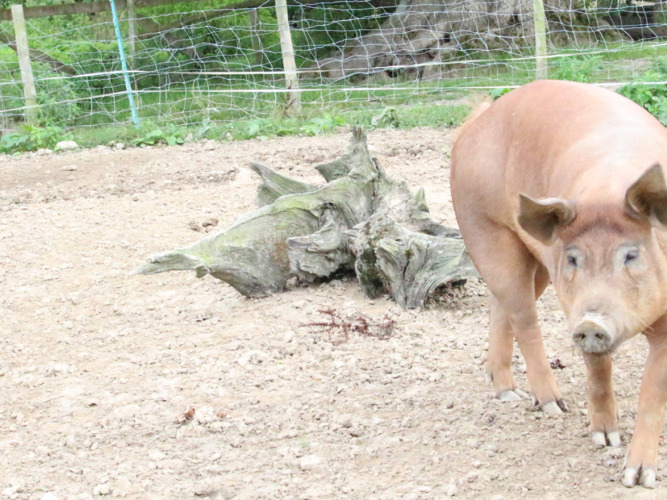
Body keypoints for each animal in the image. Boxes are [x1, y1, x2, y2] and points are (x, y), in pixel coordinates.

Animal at [450, 79, 667, 488]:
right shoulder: (572, 305)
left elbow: (653, 390)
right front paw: (606, 440)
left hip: (533, 260)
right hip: (482, 226)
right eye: (573, 258)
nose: (592, 322)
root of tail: (478, 119)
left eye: (631, 255)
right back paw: (550, 404)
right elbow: (598, 370)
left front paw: (639, 478)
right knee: (523, 317)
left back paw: (505, 390)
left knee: (500, 305)